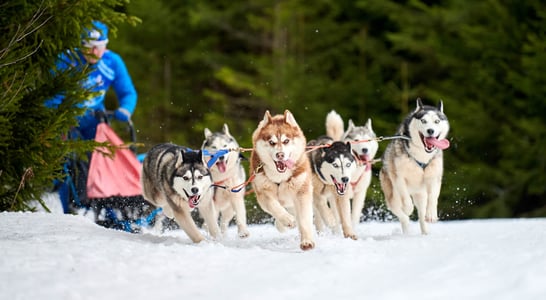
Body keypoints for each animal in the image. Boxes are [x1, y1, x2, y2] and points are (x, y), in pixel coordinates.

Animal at [248, 110, 314, 251]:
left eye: (286, 141)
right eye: (271, 142)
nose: (280, 155)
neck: (280, 177)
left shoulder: (302, 191)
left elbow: (304, 219)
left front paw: (307, 241)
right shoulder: (263, 192)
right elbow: (274, 207)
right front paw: (287, 220)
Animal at [378, 98, 450, 234]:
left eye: (437, 121)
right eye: (423, 121)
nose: (430, 131)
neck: (421, 155)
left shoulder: (434, 177)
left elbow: (433, 196)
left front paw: (431, 214)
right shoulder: (399, 178)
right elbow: (405, 198)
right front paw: (408, 208)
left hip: (420, 195)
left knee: (421, 213)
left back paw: (425, 231)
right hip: (392, 196)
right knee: (400, 213)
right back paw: (406, 224)